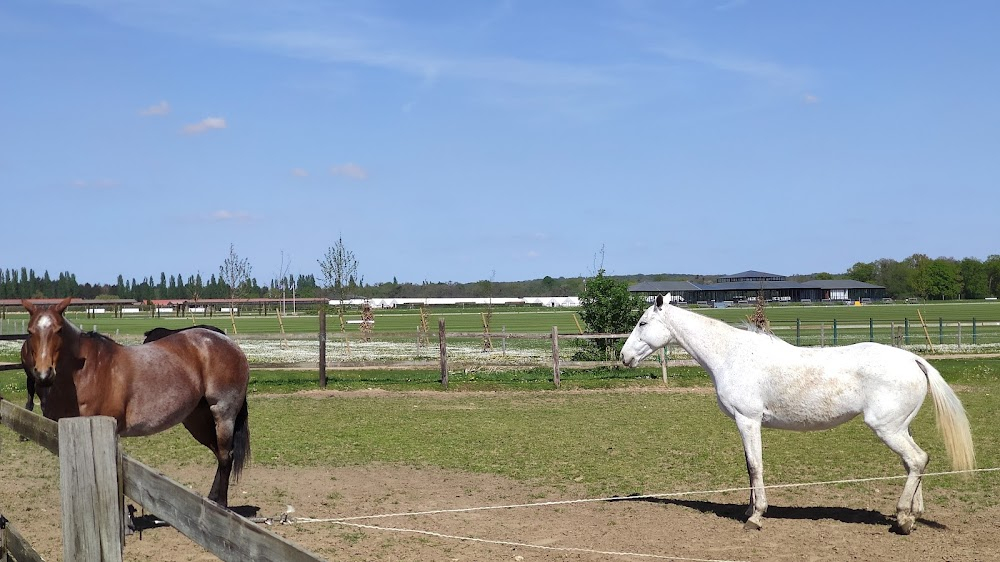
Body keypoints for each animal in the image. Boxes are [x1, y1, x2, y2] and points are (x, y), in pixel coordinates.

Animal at [22, 296, 250, 506]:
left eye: (58, 330)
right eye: (30, 331)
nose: (44, 374)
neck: (88, 370)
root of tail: (229, 343)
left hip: (223, 414)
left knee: (225, 457)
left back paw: (221, 505)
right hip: (197, 419)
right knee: (219, 454)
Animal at [620, 296, 972, 532]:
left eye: (642, 323)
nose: (624, 357)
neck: (733, 356)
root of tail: (913, 359)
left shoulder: (748, 420)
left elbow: (754, 467)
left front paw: (755, 517)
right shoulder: (745, 423)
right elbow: (749, 468)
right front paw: (748, 510)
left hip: (887, 428)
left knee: (916, 460)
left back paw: (902, 519)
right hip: (901, 427)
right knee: (915, 462)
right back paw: (914, 514)